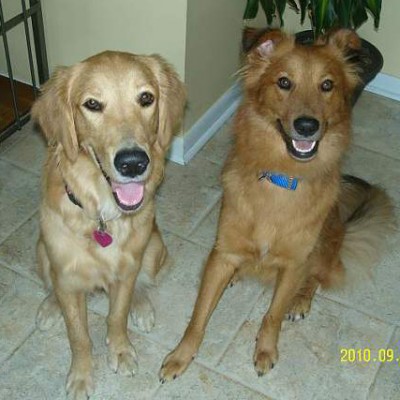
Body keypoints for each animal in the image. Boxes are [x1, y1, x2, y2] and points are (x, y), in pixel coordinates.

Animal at [32, 51, 185, 398]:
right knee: (51, 287)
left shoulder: (127, 269)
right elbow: (78, 335)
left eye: (146, 98)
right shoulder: (66, 275)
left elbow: (117, 316)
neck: (102, 214)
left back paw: (142, 307)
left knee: (143, 283)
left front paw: (120, 350)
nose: (133, 163)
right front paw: (81, 375)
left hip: (155, 247)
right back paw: (48, 308)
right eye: (92, 104)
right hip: (42, 252)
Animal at [159, 28, 394, 382]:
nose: (307, 126)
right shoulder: (223, 252)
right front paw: (181, 356)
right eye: (284, 82)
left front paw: (266, 350)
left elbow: (272, 315)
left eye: (327, 85)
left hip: (325, 243)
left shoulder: (294, 263)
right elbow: (198, 317)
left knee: (318, 277)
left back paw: (300, 301)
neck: (283, 179)